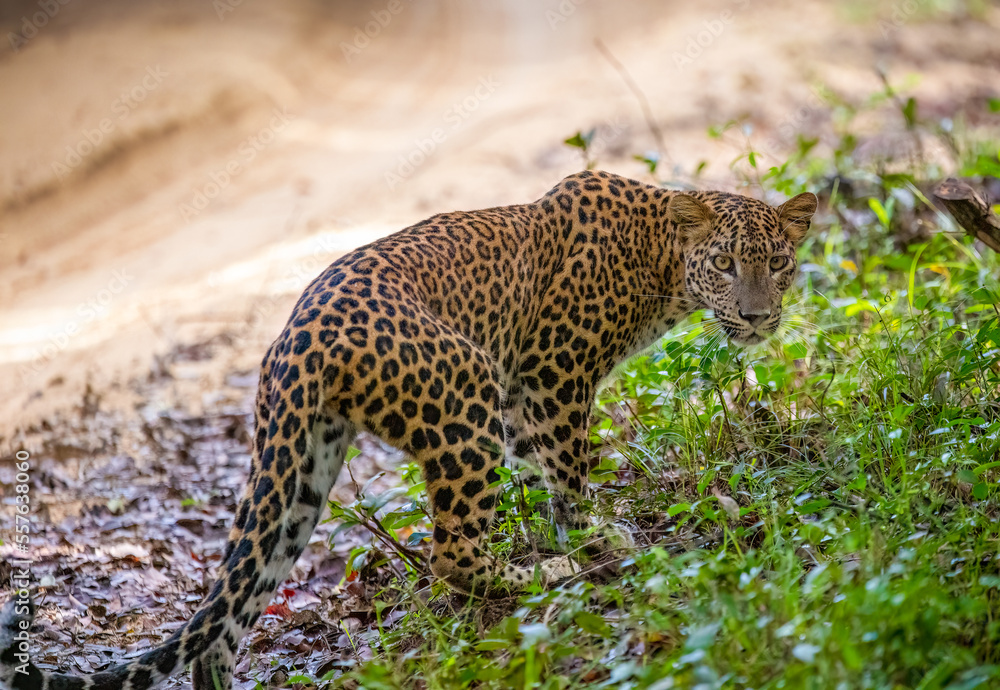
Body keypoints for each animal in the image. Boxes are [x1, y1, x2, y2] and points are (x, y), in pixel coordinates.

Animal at [0, 170, 816, 690]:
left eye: (778, 263)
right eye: (724, 263)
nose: (757, 317)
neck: (662, 263)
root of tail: (295, 339)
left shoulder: (521, 399)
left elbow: (544, 472)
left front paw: (576, 529)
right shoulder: (552, 375)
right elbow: (570, 471)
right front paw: (590, 540)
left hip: (301, 471)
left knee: (230, 610)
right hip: (463, 397)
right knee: (451, 553)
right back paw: (537, 577)